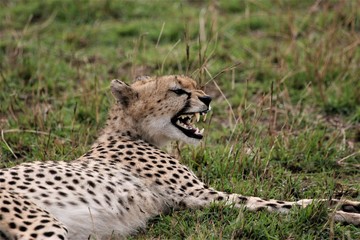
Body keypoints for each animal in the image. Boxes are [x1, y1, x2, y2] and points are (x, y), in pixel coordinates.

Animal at [0, 75, 360, 240]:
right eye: (178, 91)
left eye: (195, 84)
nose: (208, 98)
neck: (133, 132)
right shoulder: (199, 193)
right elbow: (283, 203)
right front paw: (345, 211)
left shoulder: (189, 199)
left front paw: (348, 204)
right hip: (44, 226)